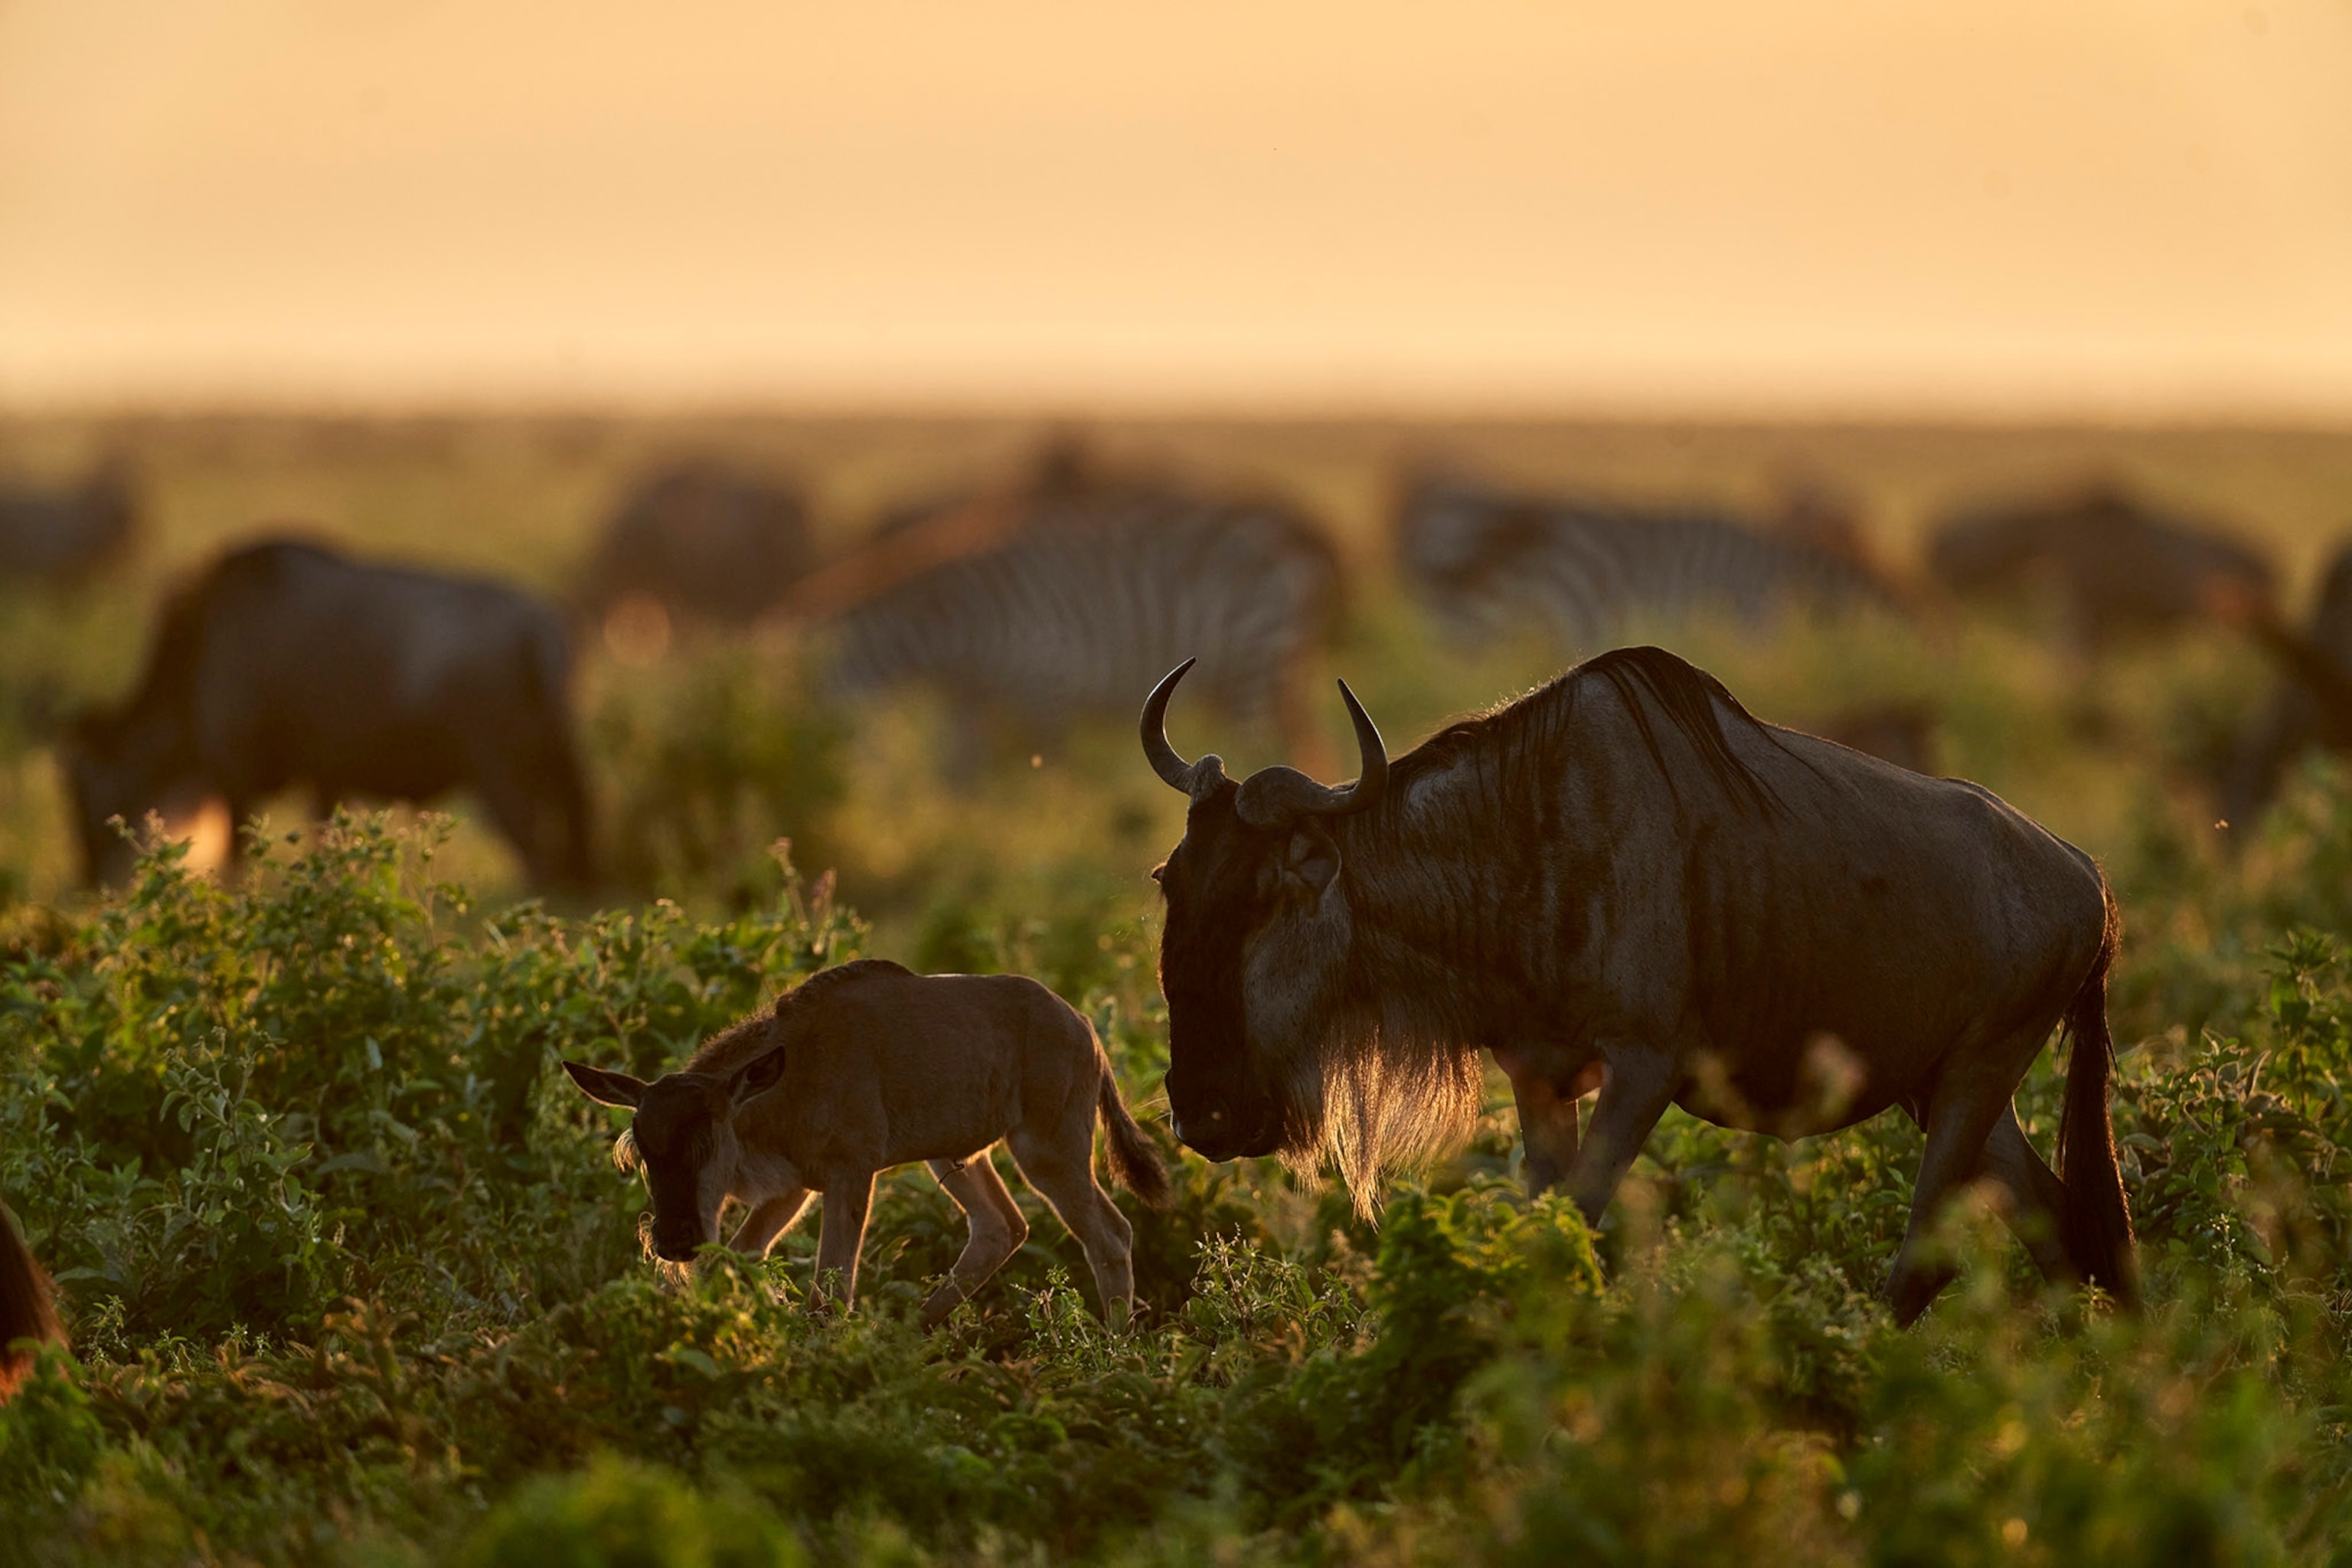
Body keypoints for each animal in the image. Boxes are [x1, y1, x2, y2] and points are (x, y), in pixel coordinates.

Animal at [61, 538, 593, 888]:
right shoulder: (326, 778)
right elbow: (325, 843)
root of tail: (536, 626)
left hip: (499, 775)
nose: (86, 877)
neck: (201, 652)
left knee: (538, 856)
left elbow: (238, 856)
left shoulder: (236, 773)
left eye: (83, 788)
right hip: (554, 762)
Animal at [1139, 647, 2134, 1324]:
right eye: (1168, 879)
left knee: (1931, 1257)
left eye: (1268, 894)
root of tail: (2090, 880)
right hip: (1946, 1089)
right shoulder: (1538, 1073)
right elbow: (1544, 1224)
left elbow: (1574, 1223)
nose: (1201, 1113)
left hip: (1975, 1077)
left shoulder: (1646, 1069)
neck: (1521, 834)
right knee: (2069, 1226)